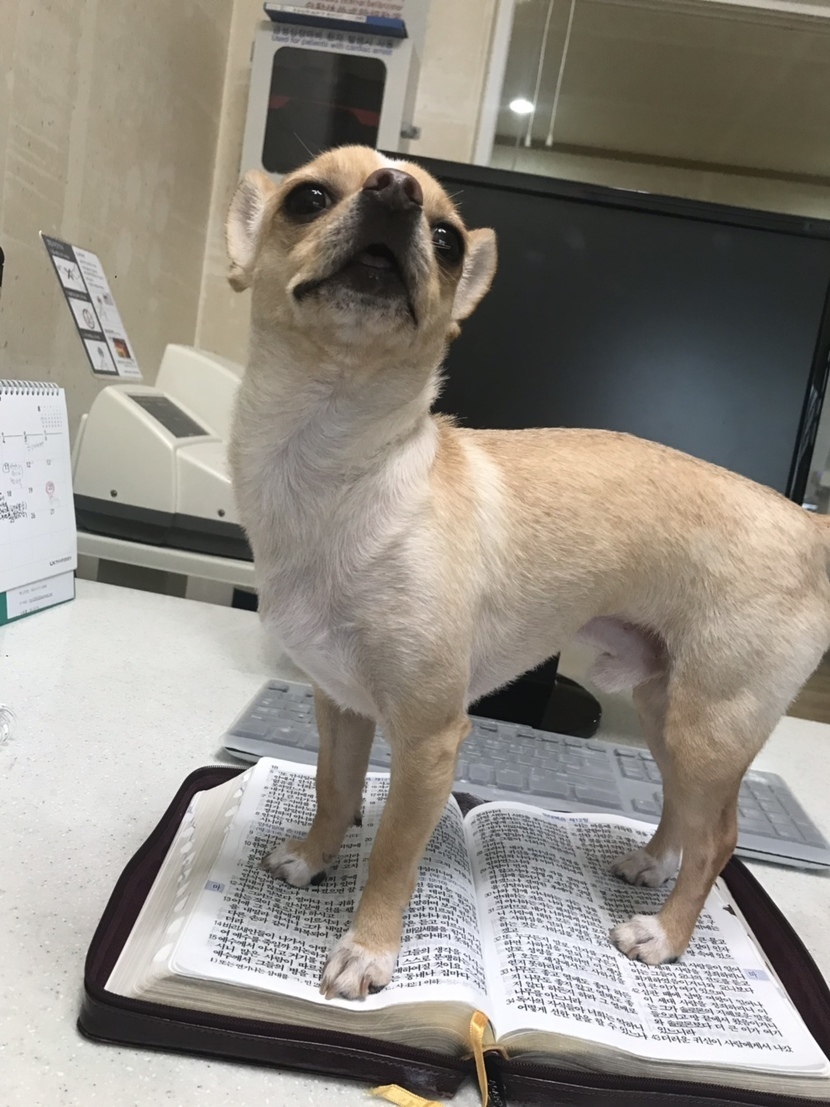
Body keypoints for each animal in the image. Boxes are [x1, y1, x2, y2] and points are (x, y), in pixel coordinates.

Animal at [225, 145, 830, 1001]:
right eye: (307, 198)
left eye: (446, 239)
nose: (396, 189)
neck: (330, 465)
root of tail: (809, 525)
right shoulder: (339, 705)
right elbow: (334, 788)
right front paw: (313, 858)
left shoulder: (428, 739)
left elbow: (393, 852)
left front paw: (369, 949)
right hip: (665, 712)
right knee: (684, 811)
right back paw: (650, 864)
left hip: (710, 727)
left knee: (719, 837)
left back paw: (665, 935)